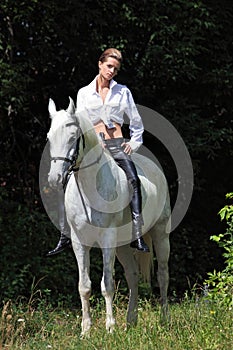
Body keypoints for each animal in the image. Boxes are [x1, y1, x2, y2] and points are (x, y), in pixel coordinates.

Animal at [46, 97, 171, 334]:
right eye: (49, 137)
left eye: (73, 137)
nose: (55, 179)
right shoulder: (79, 242)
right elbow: (84, 286)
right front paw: (86, 330)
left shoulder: (107, 240)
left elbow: (107, 284)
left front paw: (110, 328)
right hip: (122, 245)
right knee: (132, 276)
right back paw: (131, 320)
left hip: (160, 234)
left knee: (162, 274)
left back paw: (164, 320)